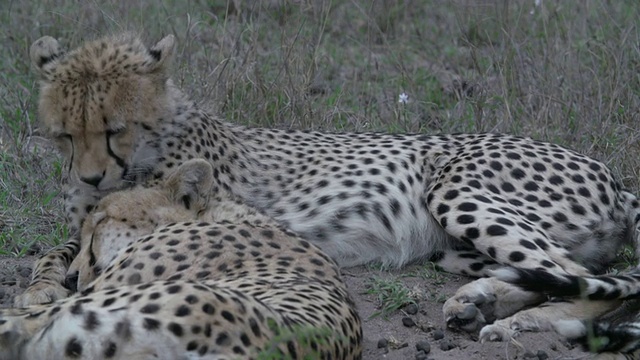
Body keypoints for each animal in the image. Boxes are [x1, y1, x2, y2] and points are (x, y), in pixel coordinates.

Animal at [22, 31, 640, 340]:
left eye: (114, 128)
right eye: (65, 134)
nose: (91, 174)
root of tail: (612, 176)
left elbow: (77, 252)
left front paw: (54, 286)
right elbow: (57, 248)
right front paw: (44, 283)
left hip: (454, 189)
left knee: (594, 279)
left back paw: (526, 322)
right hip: (455, 248)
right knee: (565, 271)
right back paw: (480, 302)